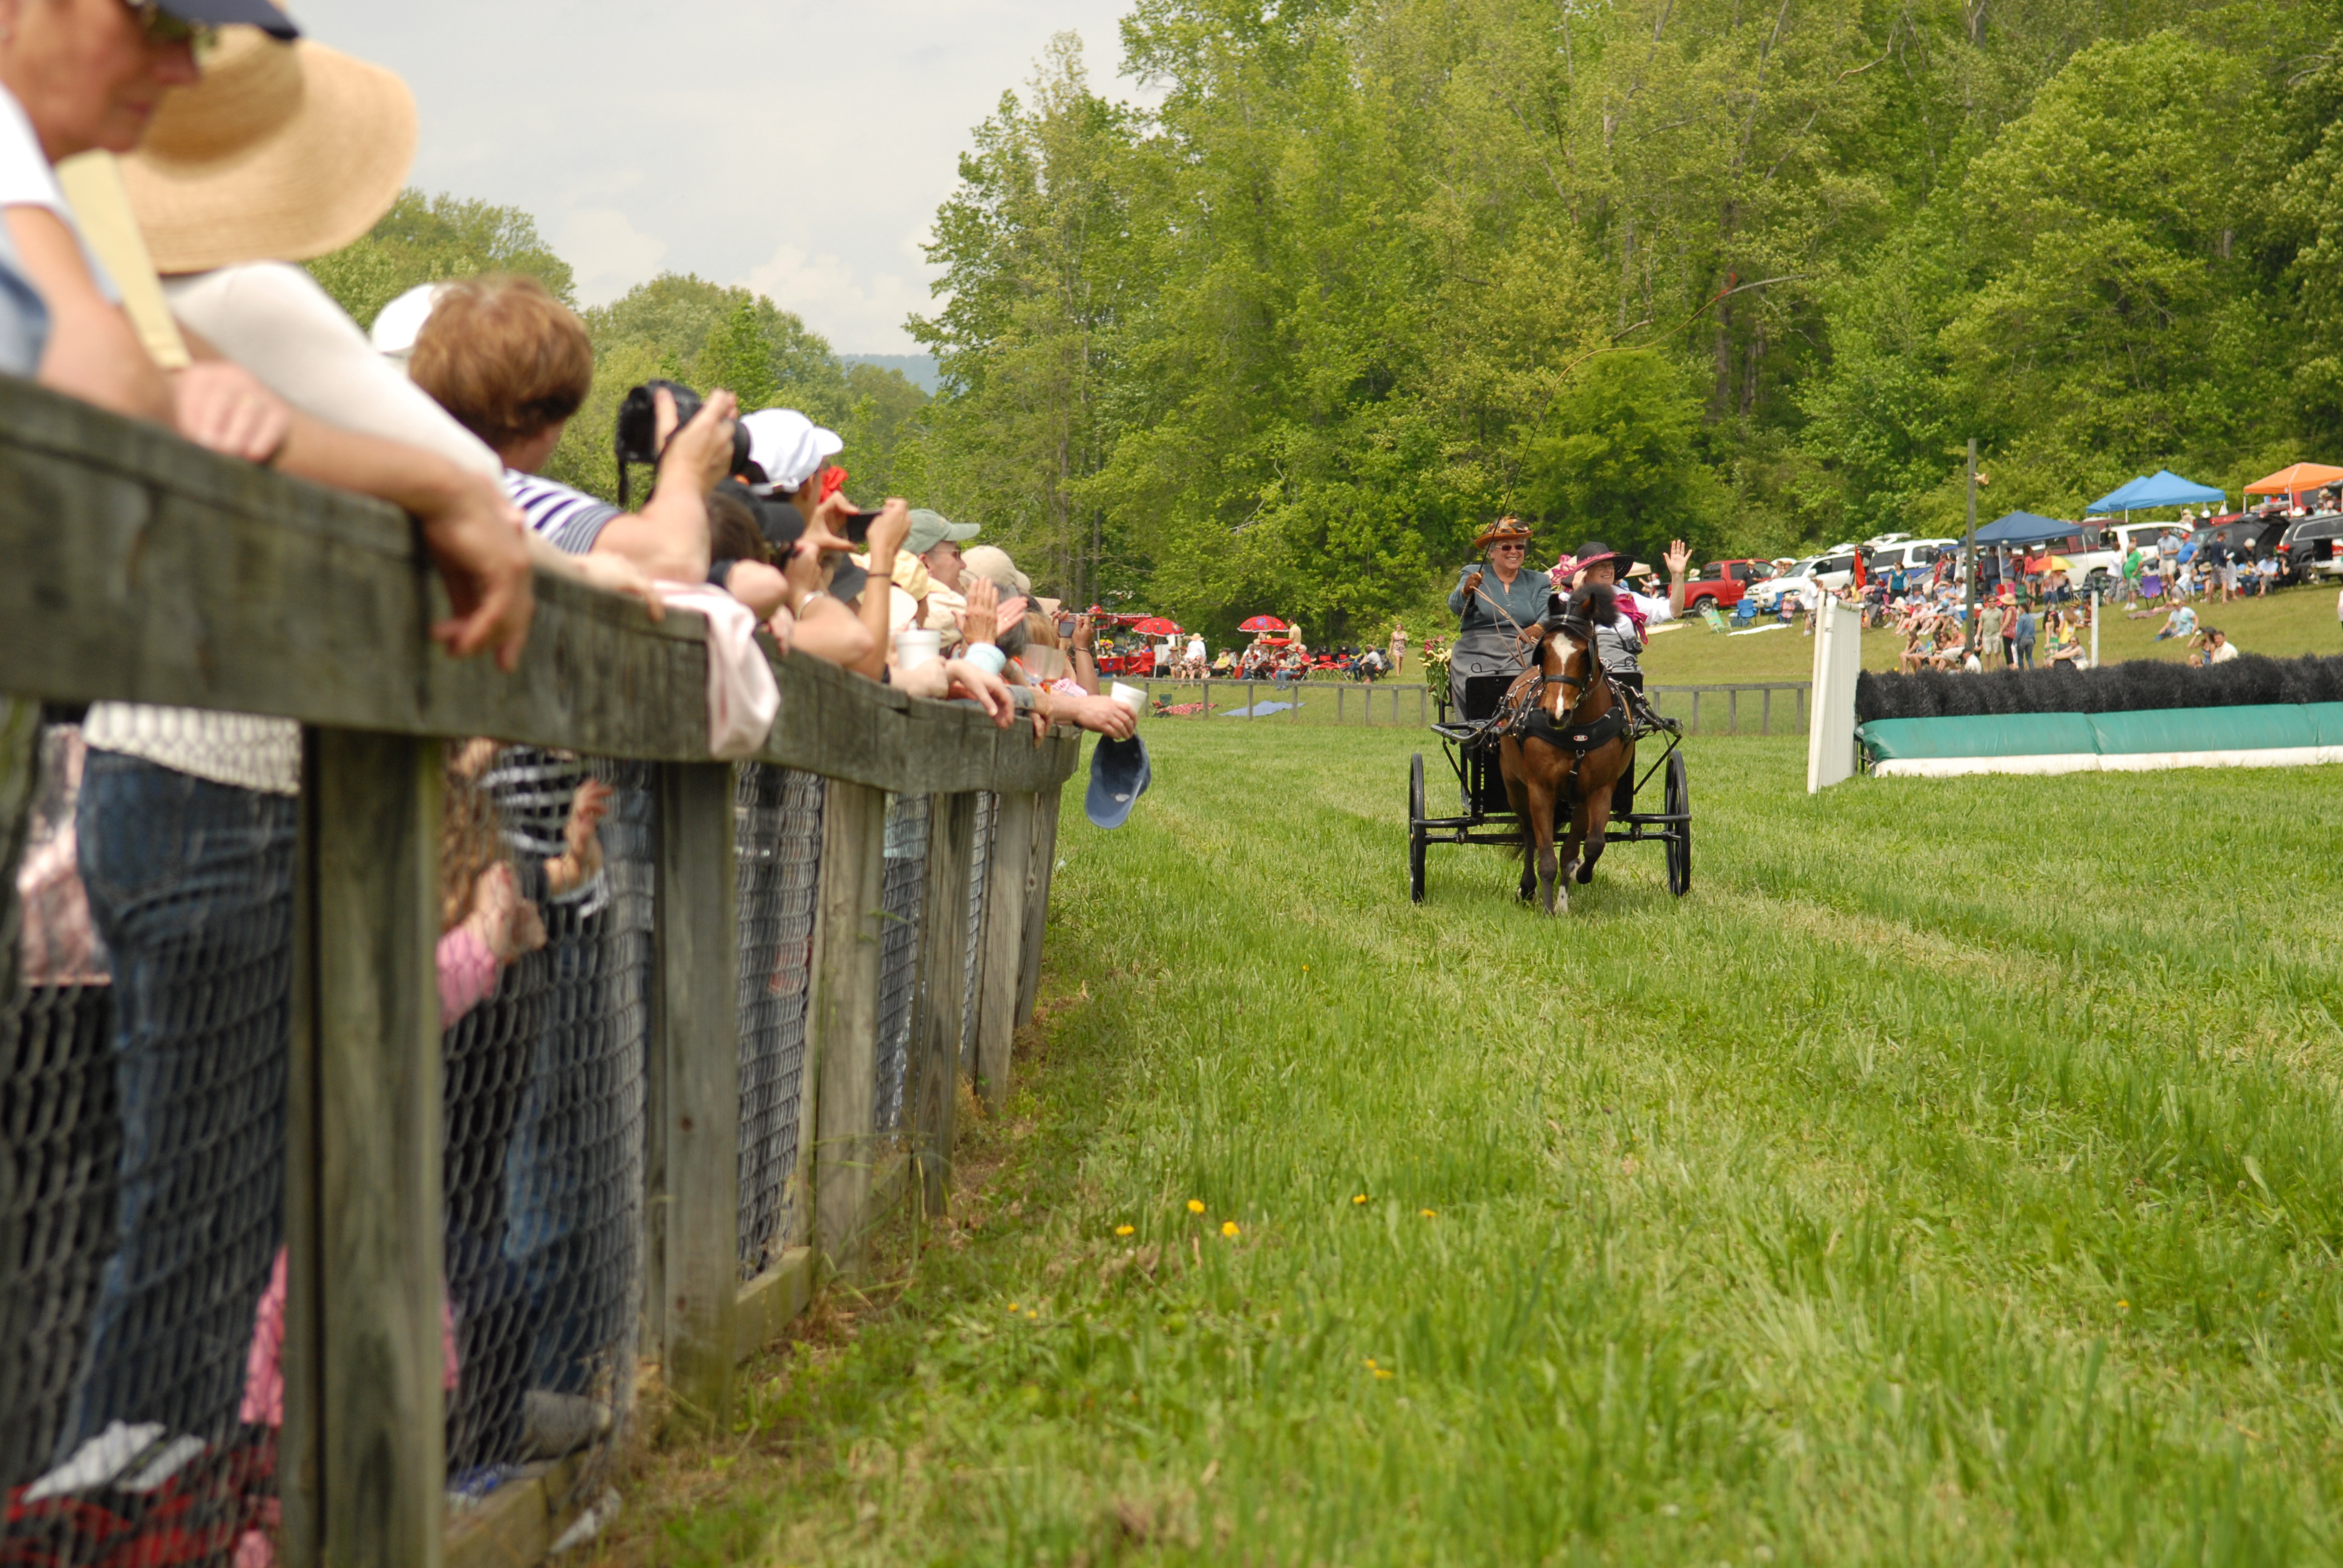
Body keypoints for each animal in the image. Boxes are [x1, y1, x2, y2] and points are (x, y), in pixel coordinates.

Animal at [1490, 581, 1640, 909]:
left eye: (1585, 654)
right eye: (1544, 651)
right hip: (1515, 788)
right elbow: (1545, 854)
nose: (1556, 712)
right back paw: (1527, 888)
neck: (1577, 733)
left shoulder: (1597, 790)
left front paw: (1573, 881)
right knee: (1529, 835)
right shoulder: (1540, 790)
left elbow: (1590, 845)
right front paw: (1547, 906)